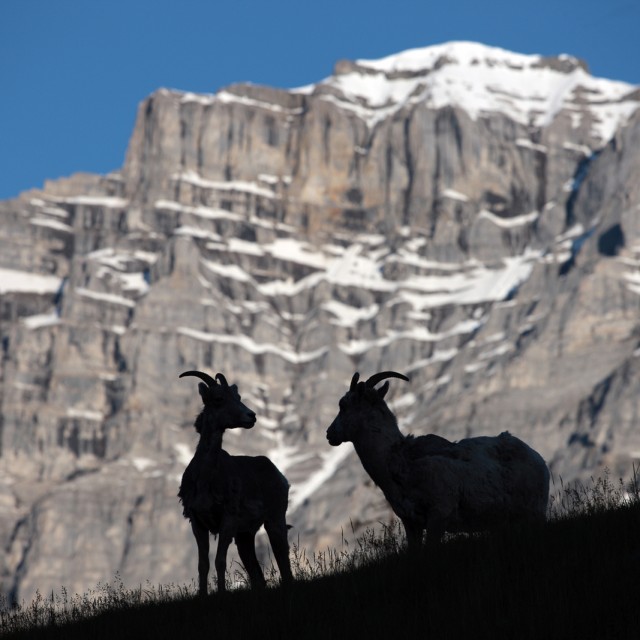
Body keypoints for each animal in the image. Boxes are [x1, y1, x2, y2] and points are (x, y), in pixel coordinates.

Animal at [178, 370, 293, 595]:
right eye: (219, 399)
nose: (251, 416)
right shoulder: (198, 523)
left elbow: (219, 561)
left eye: (237, 397)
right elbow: (203, 564)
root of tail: (280, 476)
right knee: (258, 575)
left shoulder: (227, 522)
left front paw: (222, 593)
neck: (205, 480)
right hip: (245, 537)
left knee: (284, 563)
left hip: (274, 522)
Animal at [326, 371, 550, 550]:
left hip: (534, 513)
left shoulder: (438, 517)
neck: (401, 462)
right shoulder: (411, 523)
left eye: (343, 405)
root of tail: (538, 459)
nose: (330, 434)